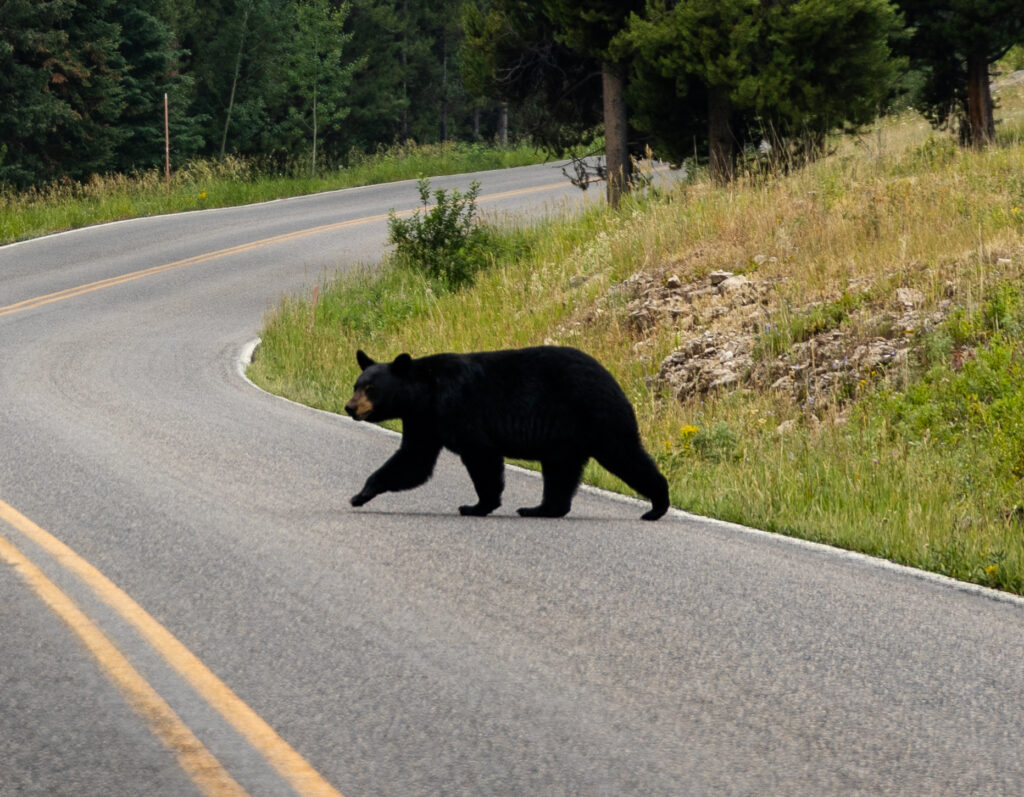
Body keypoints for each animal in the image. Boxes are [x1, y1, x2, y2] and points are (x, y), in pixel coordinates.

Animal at [344, 344, 671, 518]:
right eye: (356, 385)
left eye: (371, 389)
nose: (349, 407)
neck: (426, 393)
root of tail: (613, 379)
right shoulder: (425, 421)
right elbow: (413, 460)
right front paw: (360, 494)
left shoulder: (460, 411)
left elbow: (481, 457)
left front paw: (476, 505)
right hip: (564, 439)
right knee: (561, 473)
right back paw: (539, 509)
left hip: (597, 418)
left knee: (625, 455)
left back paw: (657, 506)